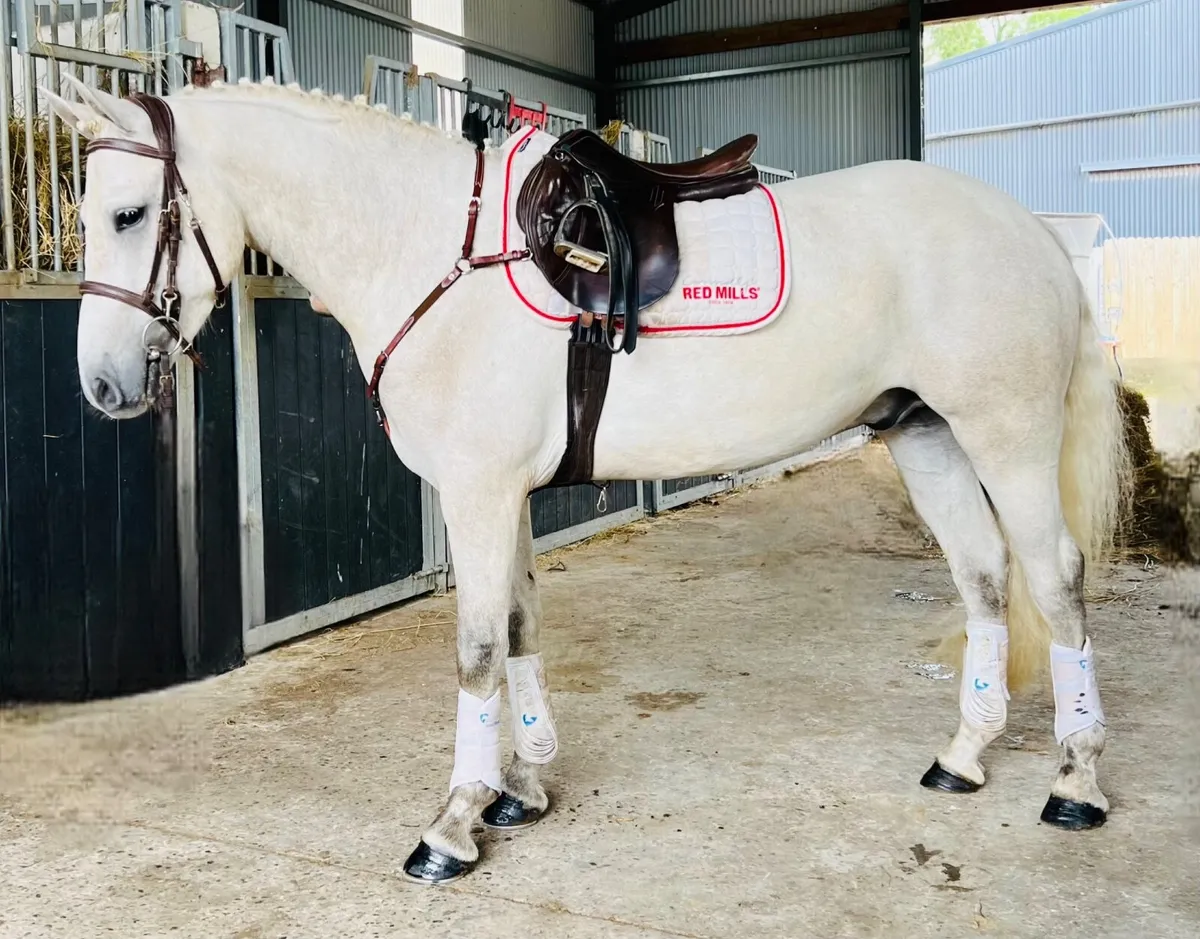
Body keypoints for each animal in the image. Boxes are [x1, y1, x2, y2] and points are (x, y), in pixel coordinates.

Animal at [47, 75, 1129, 885]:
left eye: (130, 213)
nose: (100, 386)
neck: (435, 253)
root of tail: (1028, 229)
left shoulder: (479, 492)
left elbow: (478, 649)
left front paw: (453, 824)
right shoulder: (505, 495)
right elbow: (523, 627)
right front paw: (522, 789)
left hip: (1006, 438)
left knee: (1056, 581)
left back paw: (1076, 784)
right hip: (926, 435)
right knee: (986, 577)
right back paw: (964, 757)